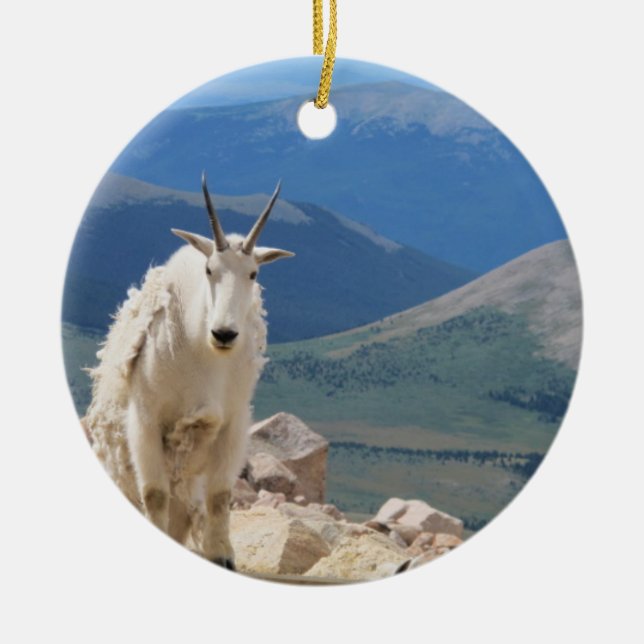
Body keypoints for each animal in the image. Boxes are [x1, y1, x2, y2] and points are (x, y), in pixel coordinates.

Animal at [84, 173, 294, 568]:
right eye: (210, 270)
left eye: (253, 273)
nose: (224, 333)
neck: (205, 357)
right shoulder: (146, 418)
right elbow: (154, 493)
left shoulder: (232, 421)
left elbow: (220, 494)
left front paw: (222, 554)